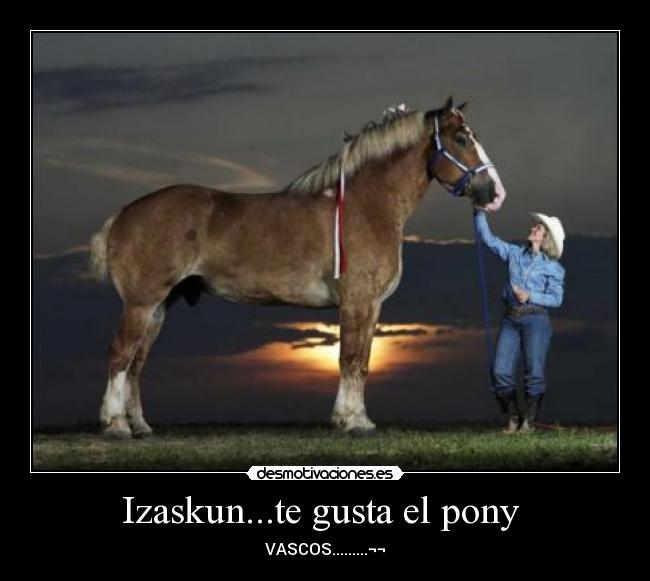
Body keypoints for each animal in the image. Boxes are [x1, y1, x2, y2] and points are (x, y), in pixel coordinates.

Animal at [89, 96, 507, 439]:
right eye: (462, 139)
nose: (495, 194)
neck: (368, 205)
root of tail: (124, 213)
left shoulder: (373, 306)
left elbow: (363, 361)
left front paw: (359, 418)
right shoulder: (356, 302)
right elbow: (349, 358)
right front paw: (350, 422)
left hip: (159, 307)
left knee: (137, 363)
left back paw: (140, 426)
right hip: (141, 303)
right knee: (120, 355)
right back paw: (116, 426)